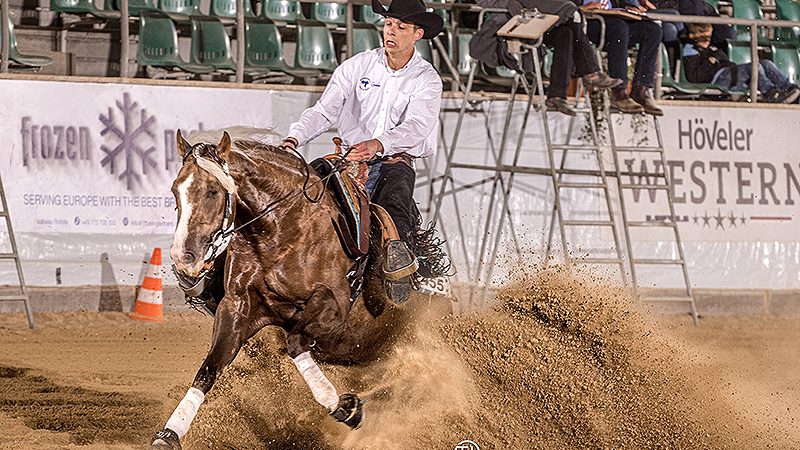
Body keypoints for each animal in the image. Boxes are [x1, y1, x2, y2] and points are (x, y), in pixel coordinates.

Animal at [148, 128, 412, 448]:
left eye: (212, 191)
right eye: (176, 190)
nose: (182, 256)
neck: (281, 231)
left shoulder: (333, 305)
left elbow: (296, 342)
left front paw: (345, 407)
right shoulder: (236, 309)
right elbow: (208, 370)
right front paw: (170, 433)